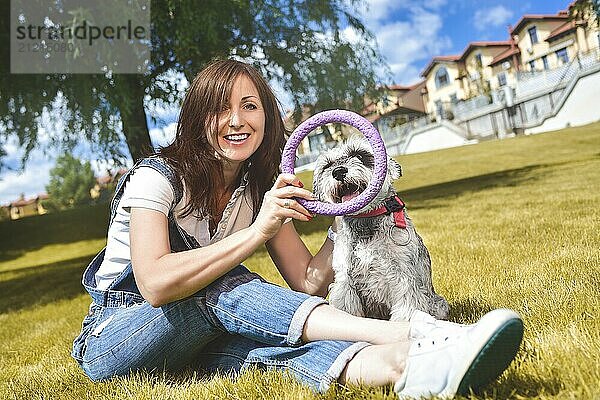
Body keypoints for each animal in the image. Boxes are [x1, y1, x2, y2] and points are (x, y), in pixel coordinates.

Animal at [314, 137, 450, 322]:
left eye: (360, 155)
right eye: (327, 165)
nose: (338, 171)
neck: (366, 222)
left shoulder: (403, 276)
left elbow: (407, 307)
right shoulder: (344, 280)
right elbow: (346, 307)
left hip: (439, 305)